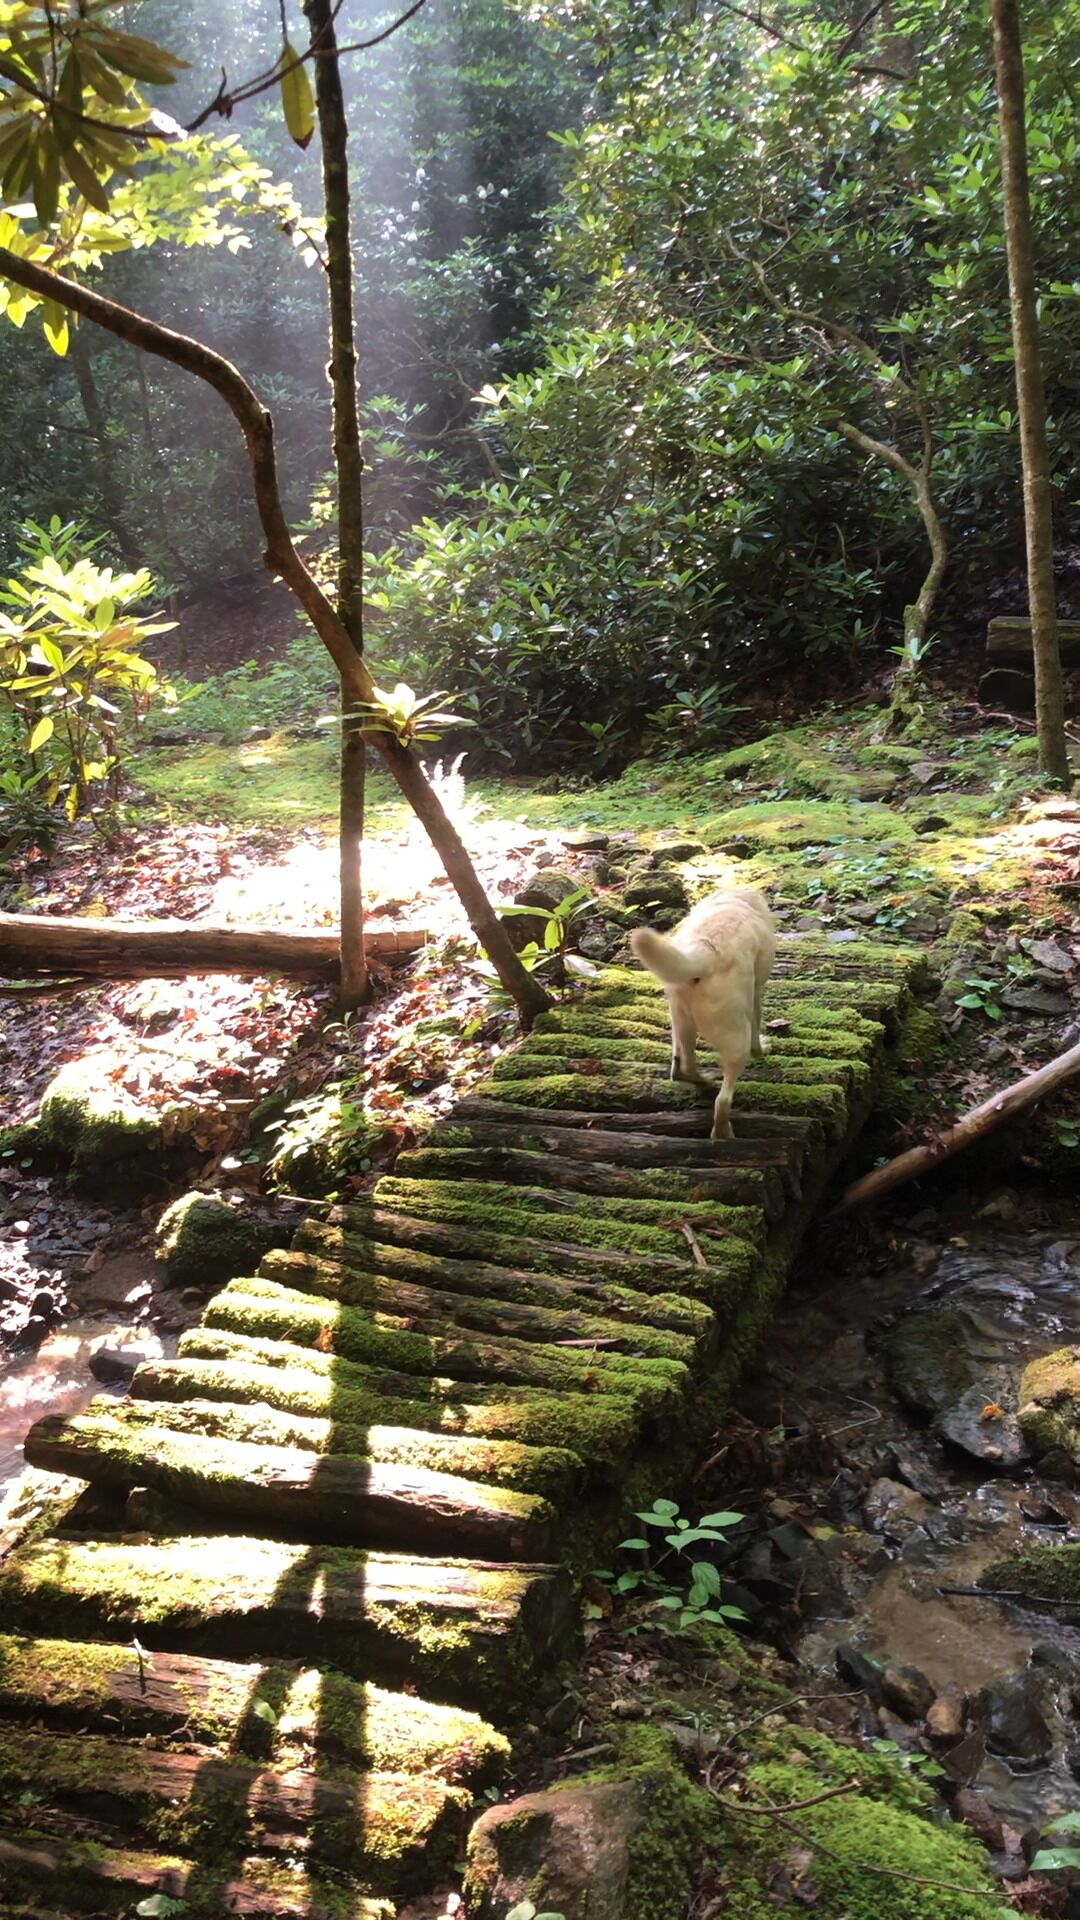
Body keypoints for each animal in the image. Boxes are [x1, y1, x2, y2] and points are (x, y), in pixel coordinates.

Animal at [629, 886, 776, 1141]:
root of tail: (704, 948)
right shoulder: (756, 993)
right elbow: (757, 1025)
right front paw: (761, 1048)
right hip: (735, 1037)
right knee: (723, 1100)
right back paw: (722, 1133)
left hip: (680, 1019)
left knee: (683, 1065)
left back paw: (699, 1080)